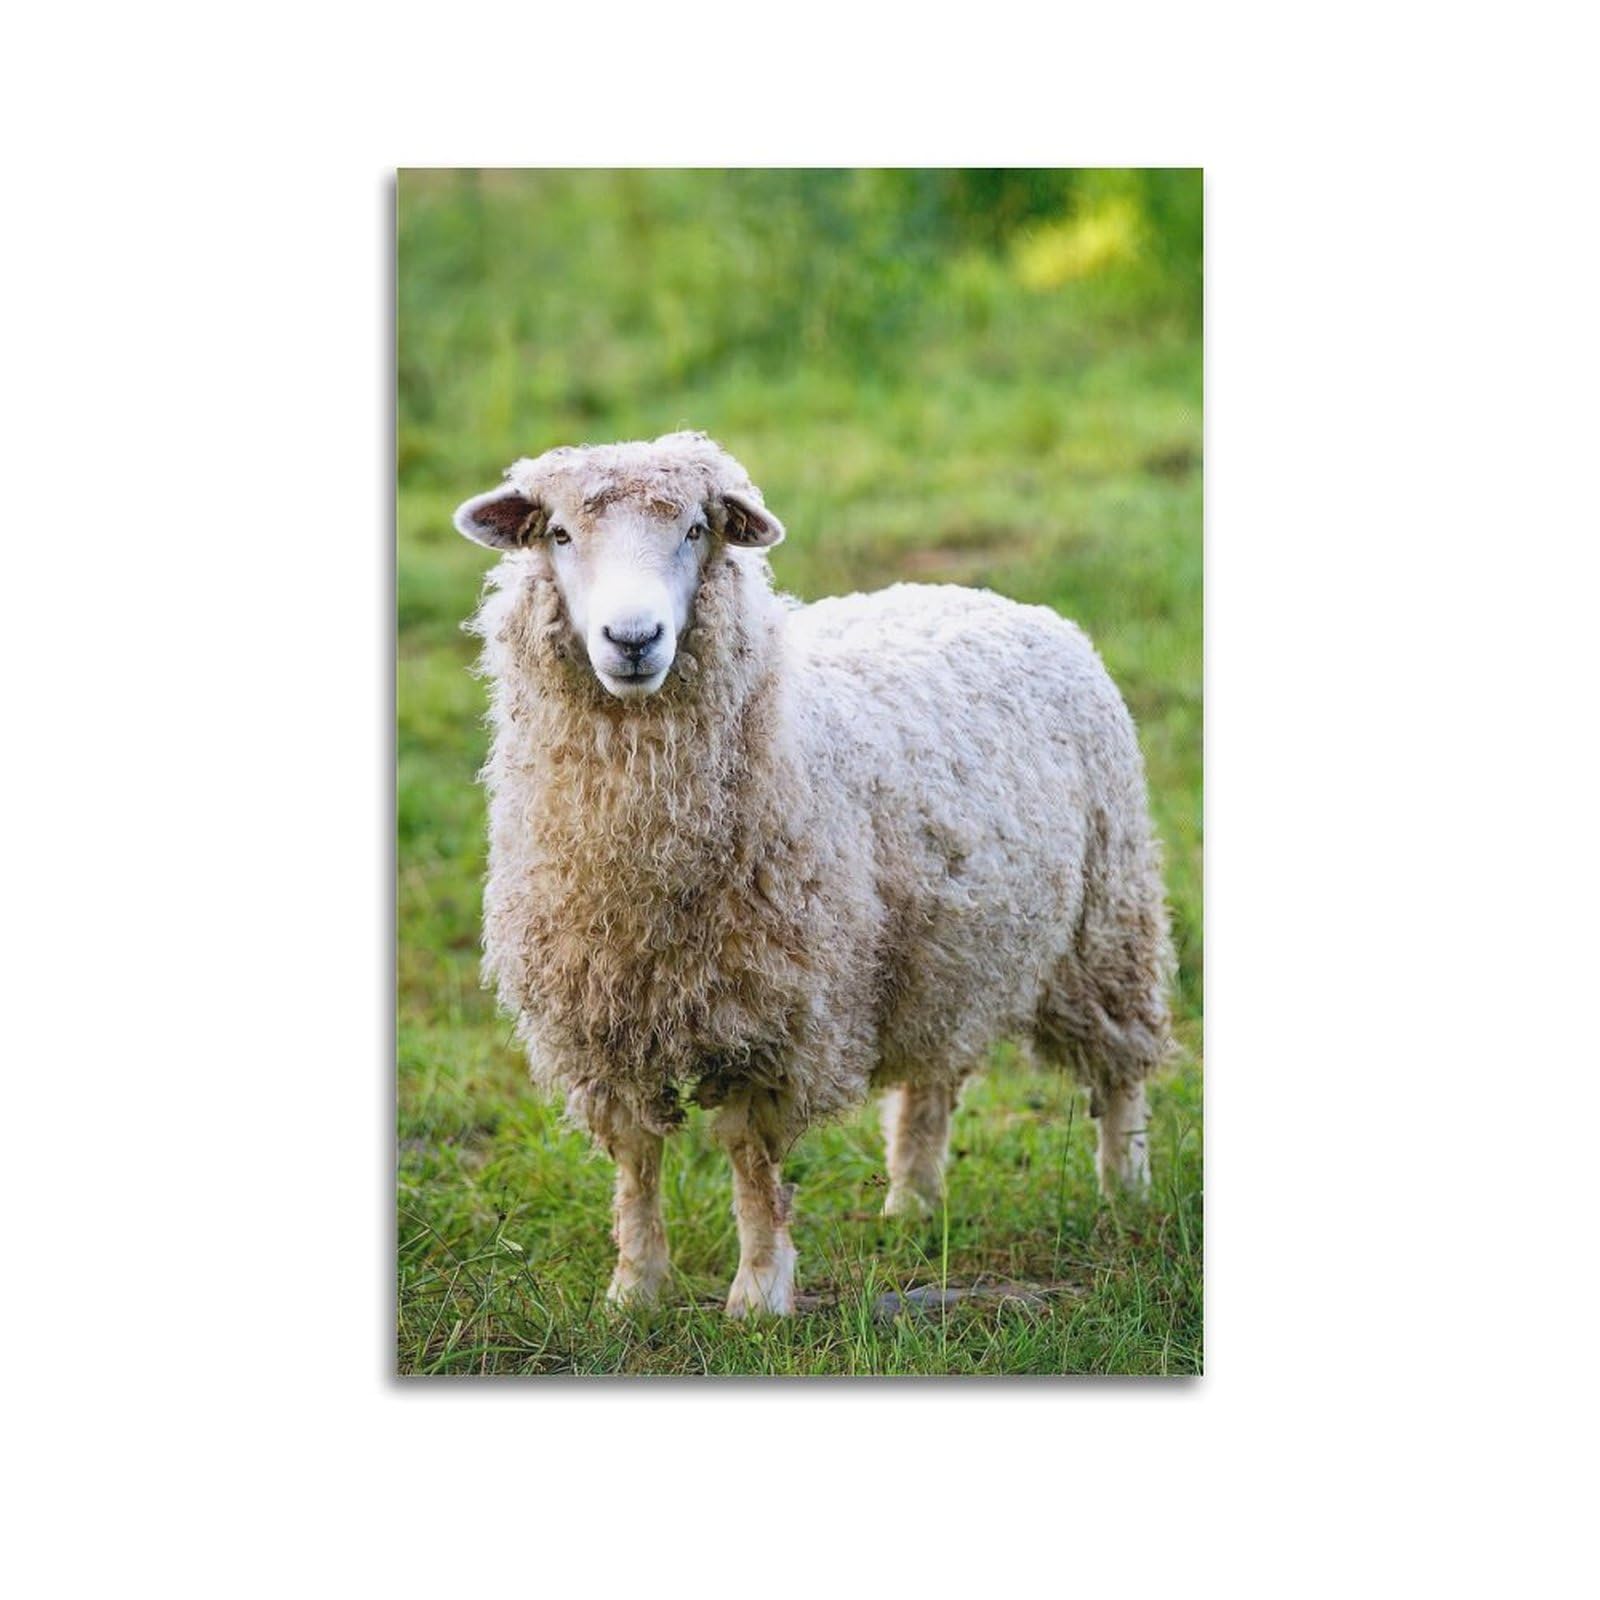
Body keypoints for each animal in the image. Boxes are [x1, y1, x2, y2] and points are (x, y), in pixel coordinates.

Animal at [454, 430, 1175, 1317]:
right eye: (557, 534)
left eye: (696, 530)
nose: (633, 638)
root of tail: (995, 597)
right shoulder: (600, 1019)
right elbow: (635, 1157)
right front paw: (635, 1289)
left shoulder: (777, 1015)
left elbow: (752, 1159)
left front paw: (758, 1296)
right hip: (942, 944)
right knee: (930, 1079)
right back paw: (912, 1201)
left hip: (1107, 919)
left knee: (1120, 1067)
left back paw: (1125, 1186)